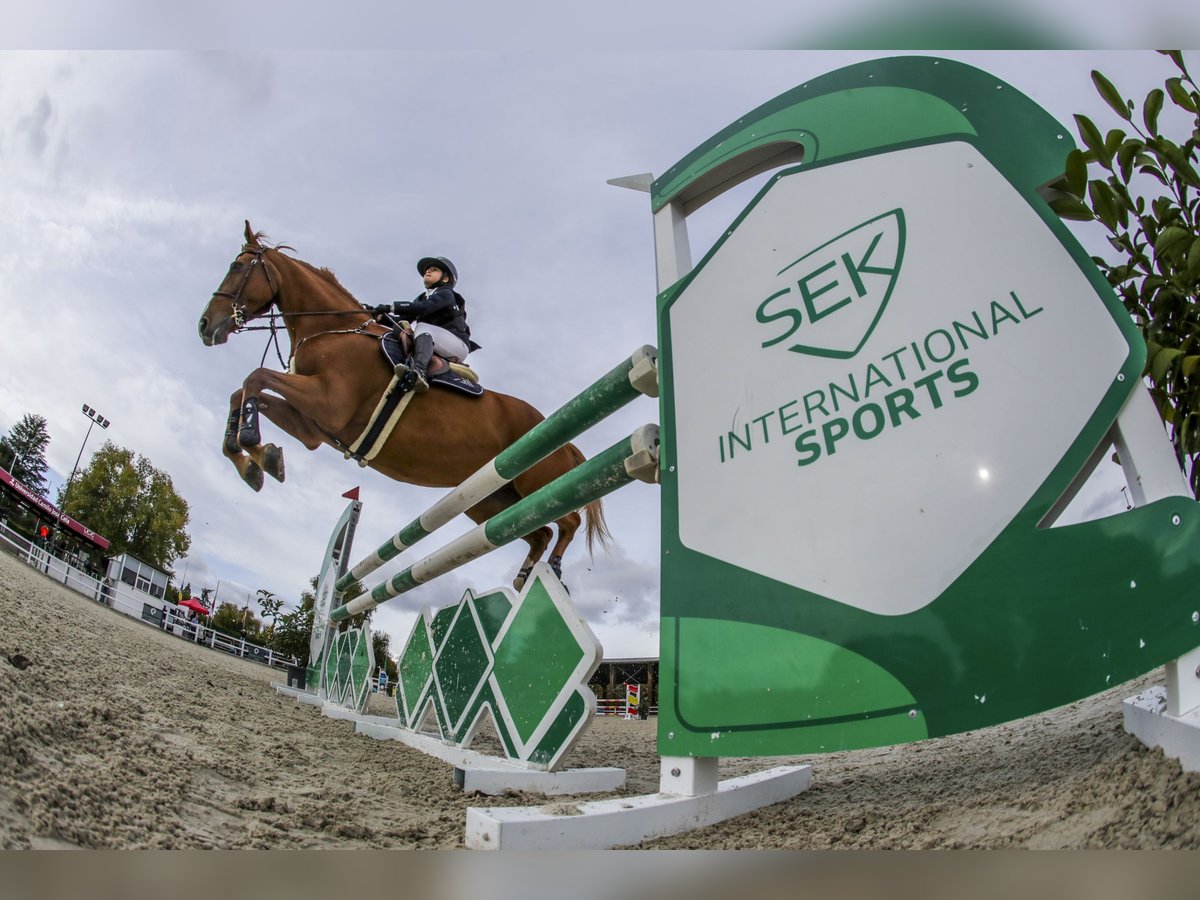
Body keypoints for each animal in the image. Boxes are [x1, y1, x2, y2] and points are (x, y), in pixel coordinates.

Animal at [200, 222, 609, 588]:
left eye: (237, 266)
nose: (206, 326)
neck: (333, 332)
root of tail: (563, 437)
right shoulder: (313, 427)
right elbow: (244, 391)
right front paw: (256, 460)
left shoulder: (327, 403)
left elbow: (255, 377)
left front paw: (251, 445)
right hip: (490, 499)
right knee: (537, 532)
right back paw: (525, 579)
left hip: (533, 479)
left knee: (567, 522)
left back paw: (552, 569)